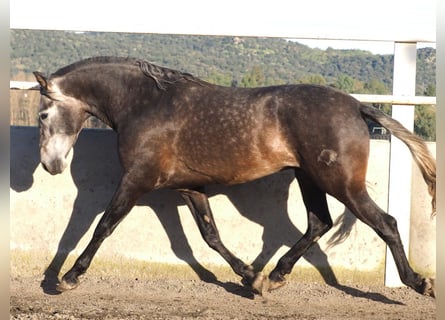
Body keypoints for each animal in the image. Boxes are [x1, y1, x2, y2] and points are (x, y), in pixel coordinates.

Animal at [33, 55, 436, 298]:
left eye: (42, 115)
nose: (50, 165)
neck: (145, 104)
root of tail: (356, 105)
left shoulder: (137, 180)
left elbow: (102, 225)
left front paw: (68, 278)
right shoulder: (189, 188)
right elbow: (210, 237)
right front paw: (250, 278)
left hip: (342, 184)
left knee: (385, 223)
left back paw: (417, 282)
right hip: (310, 179)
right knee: (318, 223)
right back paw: (275, 276)